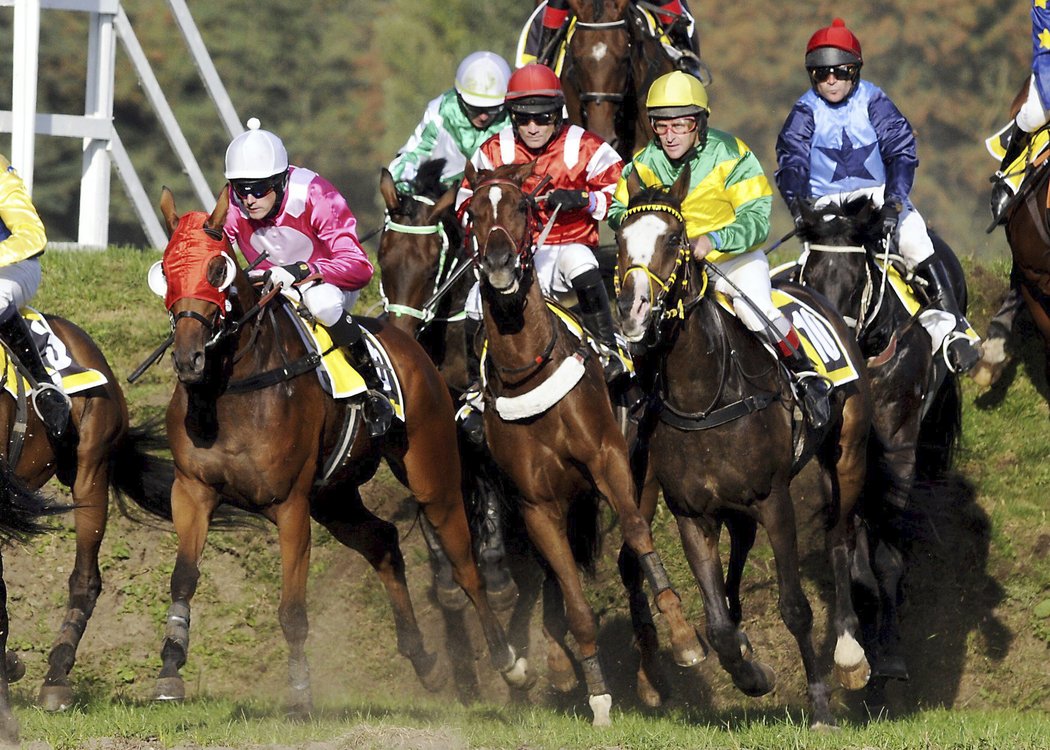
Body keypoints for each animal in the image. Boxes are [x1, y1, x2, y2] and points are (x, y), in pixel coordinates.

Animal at [152, 188, 529, 714]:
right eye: (165, 270)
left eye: (216, 269)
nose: (189, 359)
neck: (232, 391)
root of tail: (409, 343)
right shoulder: (193, 491)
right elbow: (183, 577)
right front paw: (170, 667)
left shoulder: (290, 504)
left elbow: (292, 610)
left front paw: (299, 694)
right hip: (334, 498)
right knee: (383, 541)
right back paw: (425, 661)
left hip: (430, 477)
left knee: (465, 565)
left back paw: (508, 660)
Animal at [461, 159, 701, 722]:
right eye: (474, 211)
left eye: (524, 206)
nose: (500, 263)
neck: (528, 374)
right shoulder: (535, 502)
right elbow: (570, 593)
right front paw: (596, 694)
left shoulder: (607, 459)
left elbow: (636, 536)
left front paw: (684, 639)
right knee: (554, 575)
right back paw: (558, 663)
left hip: (641, 473)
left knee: (630, 559)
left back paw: (652, 673)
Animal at [617, 171, 873, 722]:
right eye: (622, 239)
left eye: (675, 238)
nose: (633, 311)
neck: (704, 397)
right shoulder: (691, 511)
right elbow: (715, 625)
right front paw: (752, 673)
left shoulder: (774, 499)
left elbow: (795, 607)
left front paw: (820, 704)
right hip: (731, 506)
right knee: (737, 560)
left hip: (846, 457)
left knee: (840, 537)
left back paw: (848, 653)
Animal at [793, 195, 965, 684]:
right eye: (810, 277)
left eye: (855, 281)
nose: (826, 350)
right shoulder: (836, 453)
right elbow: (843, 537)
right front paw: (850, 645)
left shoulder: (899, 443)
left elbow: (888, 550)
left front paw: (888, 652)